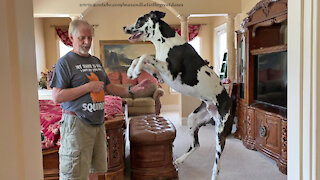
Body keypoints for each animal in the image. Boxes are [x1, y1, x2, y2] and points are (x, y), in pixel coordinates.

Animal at [122, 10, 235, 179]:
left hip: (220, 131)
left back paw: (214, 173)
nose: (124, 27)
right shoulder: (161, 76)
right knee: (196, 144)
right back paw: (180, 159)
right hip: (193, 119)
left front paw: (134, 71)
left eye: (140, 20)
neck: (165, 42)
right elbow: (140, 58)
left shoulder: (170, 72)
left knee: (217, 162)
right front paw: (132, 70)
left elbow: (145, 55)